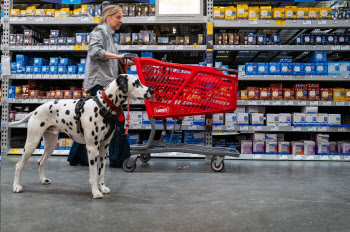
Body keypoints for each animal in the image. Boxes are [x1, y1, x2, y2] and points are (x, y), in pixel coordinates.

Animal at [11, 75, 153, 199]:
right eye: (136, 83)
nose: (151, 90)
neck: (104, 106)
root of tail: (35, 110)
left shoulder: (104, 148)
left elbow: (101, 172)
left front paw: (102, 188)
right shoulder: (92, 148)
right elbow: (94, 174)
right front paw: (96, 192)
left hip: (50, 145)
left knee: (41, 162)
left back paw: (43, 180)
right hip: (32, 142)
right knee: (18, 165)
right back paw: (16, 186)